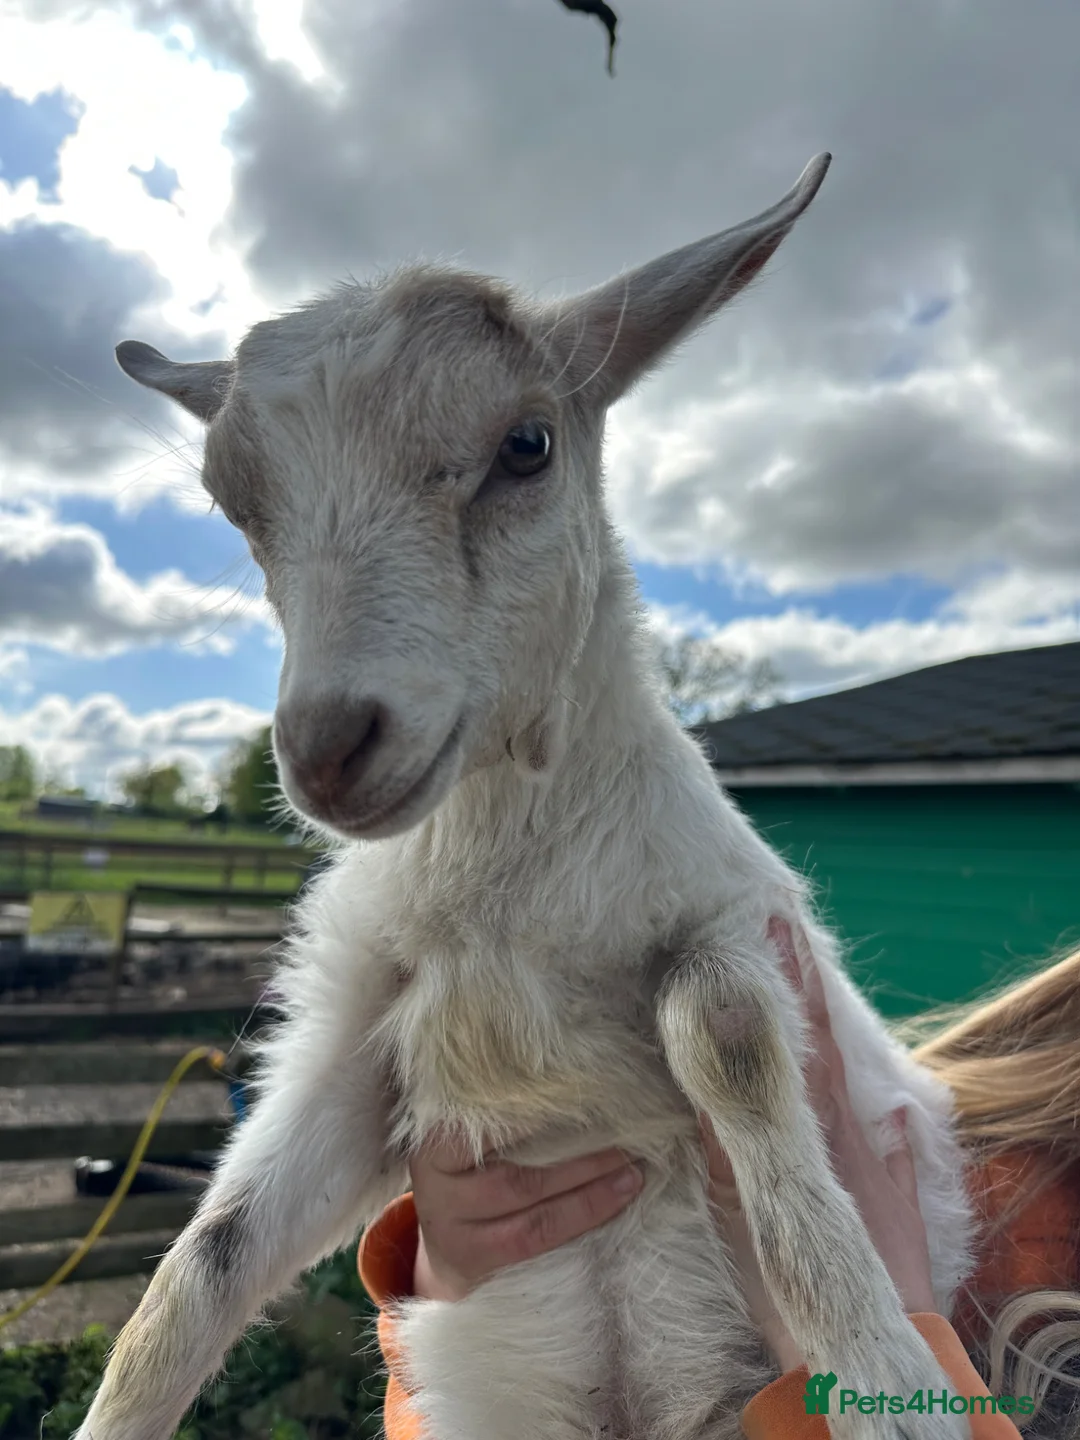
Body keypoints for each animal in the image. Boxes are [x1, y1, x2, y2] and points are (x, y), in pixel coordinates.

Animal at [80, 153, 975, 1440]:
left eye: (528, 444)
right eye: (234, 505)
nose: (328, 746)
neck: (507, 901)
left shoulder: (729, 921)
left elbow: (728, 1039)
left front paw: (889, 1369)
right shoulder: (359, 1050)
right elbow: (207, 1261)